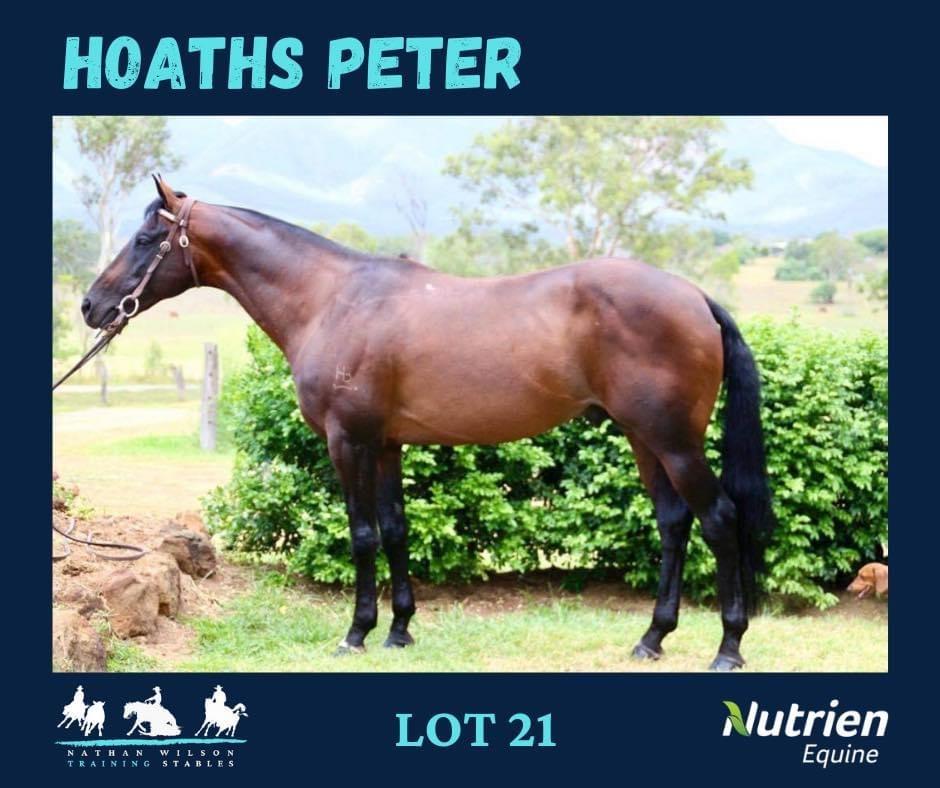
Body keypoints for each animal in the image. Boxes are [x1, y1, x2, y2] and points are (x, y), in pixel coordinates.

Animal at [81, 176, 775, 670]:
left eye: (145, 240)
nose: (91, 306)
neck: (332, 300)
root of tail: (694, 296)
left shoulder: (349, 442)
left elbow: (362, 534)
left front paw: (356, 632)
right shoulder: (386, 445)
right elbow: (394, 529)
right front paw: (399, 631)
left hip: (674, 442)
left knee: (719, 520)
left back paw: (728, 648)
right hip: (644, 439)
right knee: (673, 522)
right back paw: (652, 638)